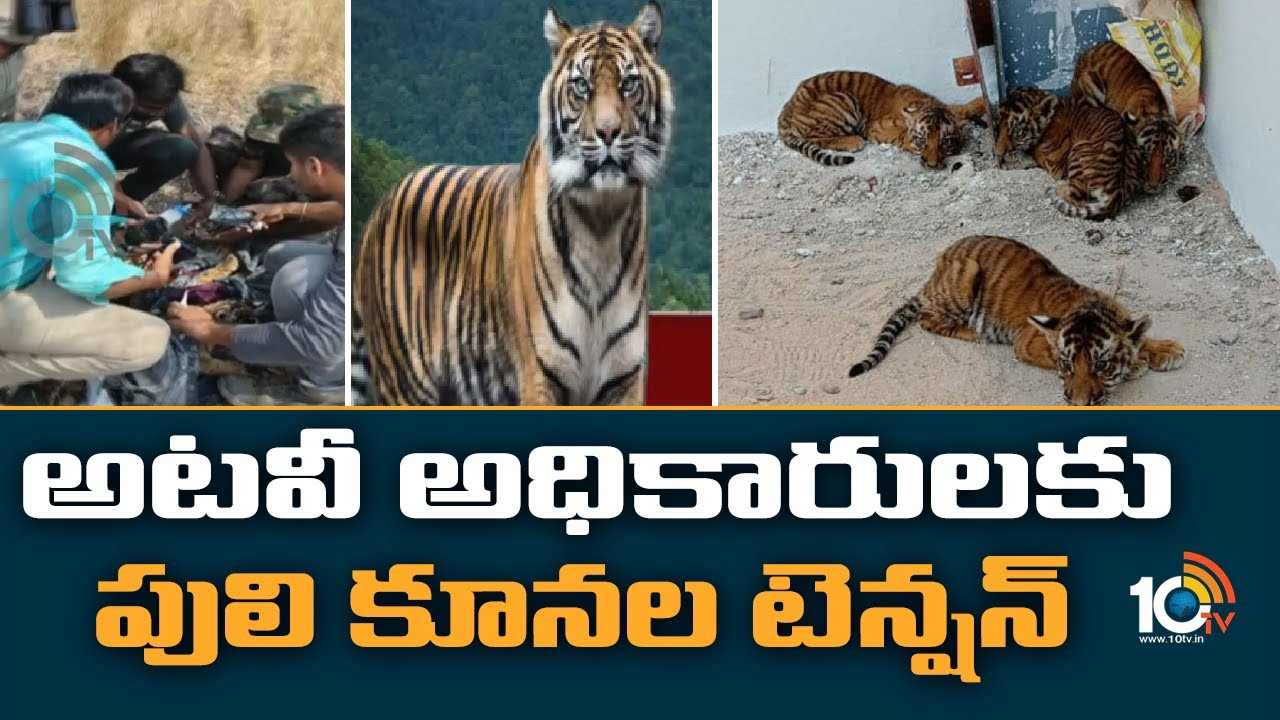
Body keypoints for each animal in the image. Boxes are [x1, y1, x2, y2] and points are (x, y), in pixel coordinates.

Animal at [353, 2, 672, 406]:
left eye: (628, 84)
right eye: (581, 86)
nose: (608, 132)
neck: (601, 221)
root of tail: (379, 209)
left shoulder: (623, 380)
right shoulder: (541, 375)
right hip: (408, 384)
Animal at [777, 70, 988, 168]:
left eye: (944, 142)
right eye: (922, 140)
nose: (932, 165)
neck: (925, 103)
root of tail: (787, 106)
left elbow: (958, 108)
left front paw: (980, 103)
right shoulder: (876, 128)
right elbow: (900, 134)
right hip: (843, 99)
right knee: (814, 137)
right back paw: (852, 141)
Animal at [847, 235, 1185, 406]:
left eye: (1101, 365)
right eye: (1067, 364)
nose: (1078, 403)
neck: (1089, 305)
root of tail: (932, 276)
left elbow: (1139, 335)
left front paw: (1166, 350)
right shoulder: (1027, 343)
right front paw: (1138, 365)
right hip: (965, 276)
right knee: (927, 318)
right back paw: (973, 332)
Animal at [995, 86, 1142, 220]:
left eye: (1017, 132)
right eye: (998, 126)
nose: (997, 153)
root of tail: (1116, 193)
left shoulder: (1053, 163)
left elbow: (1031, 154)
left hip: (1078, 151)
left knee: (1076, 196)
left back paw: (1055, 189)